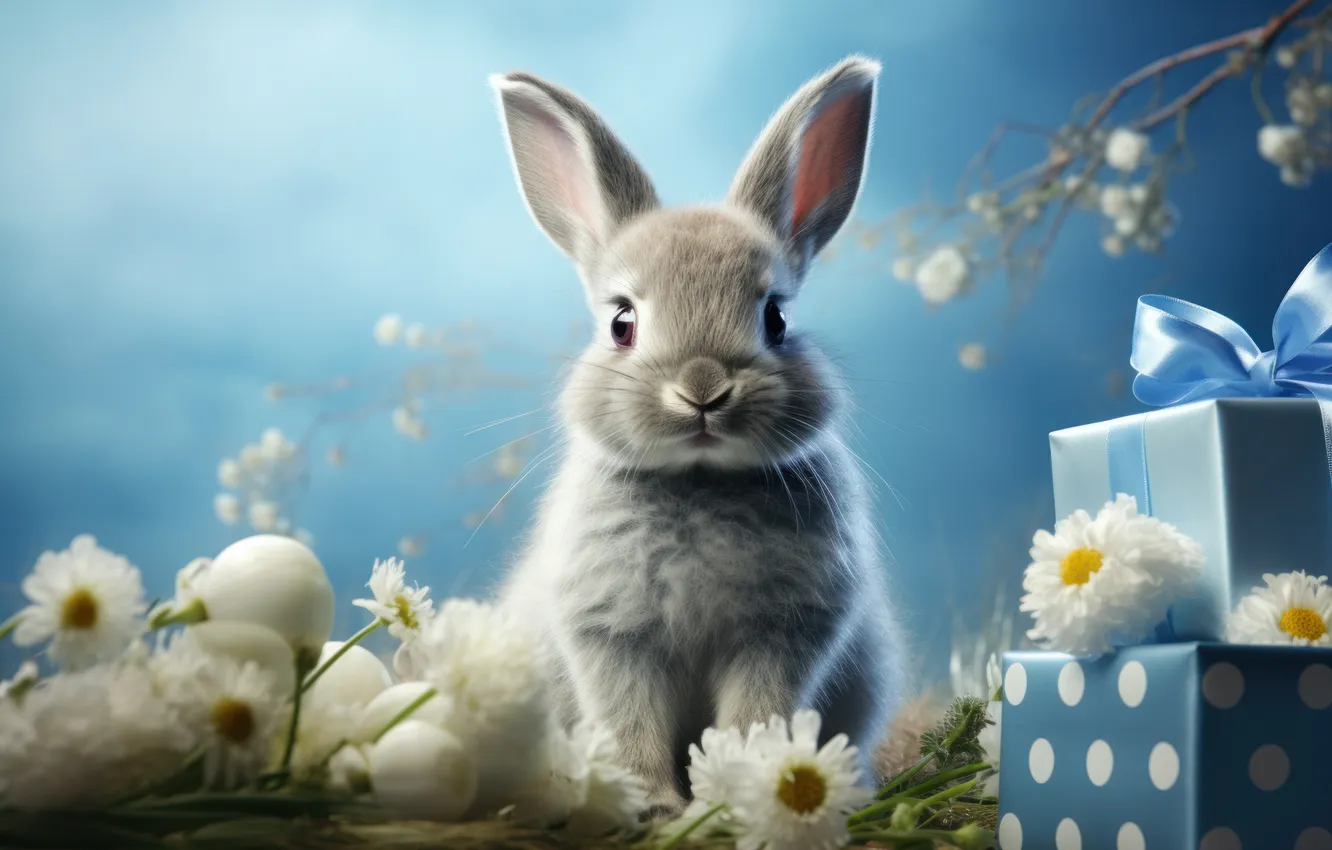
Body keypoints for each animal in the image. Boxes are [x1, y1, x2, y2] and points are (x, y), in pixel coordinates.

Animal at [489, 55, 907, 820]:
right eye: (621, 322)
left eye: (775, 318)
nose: (704, 389)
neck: (700, 479)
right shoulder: (613, 637)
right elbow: (628, 720)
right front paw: (654, 805)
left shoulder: (780, 635)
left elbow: (755, 717)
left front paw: (740, 796)